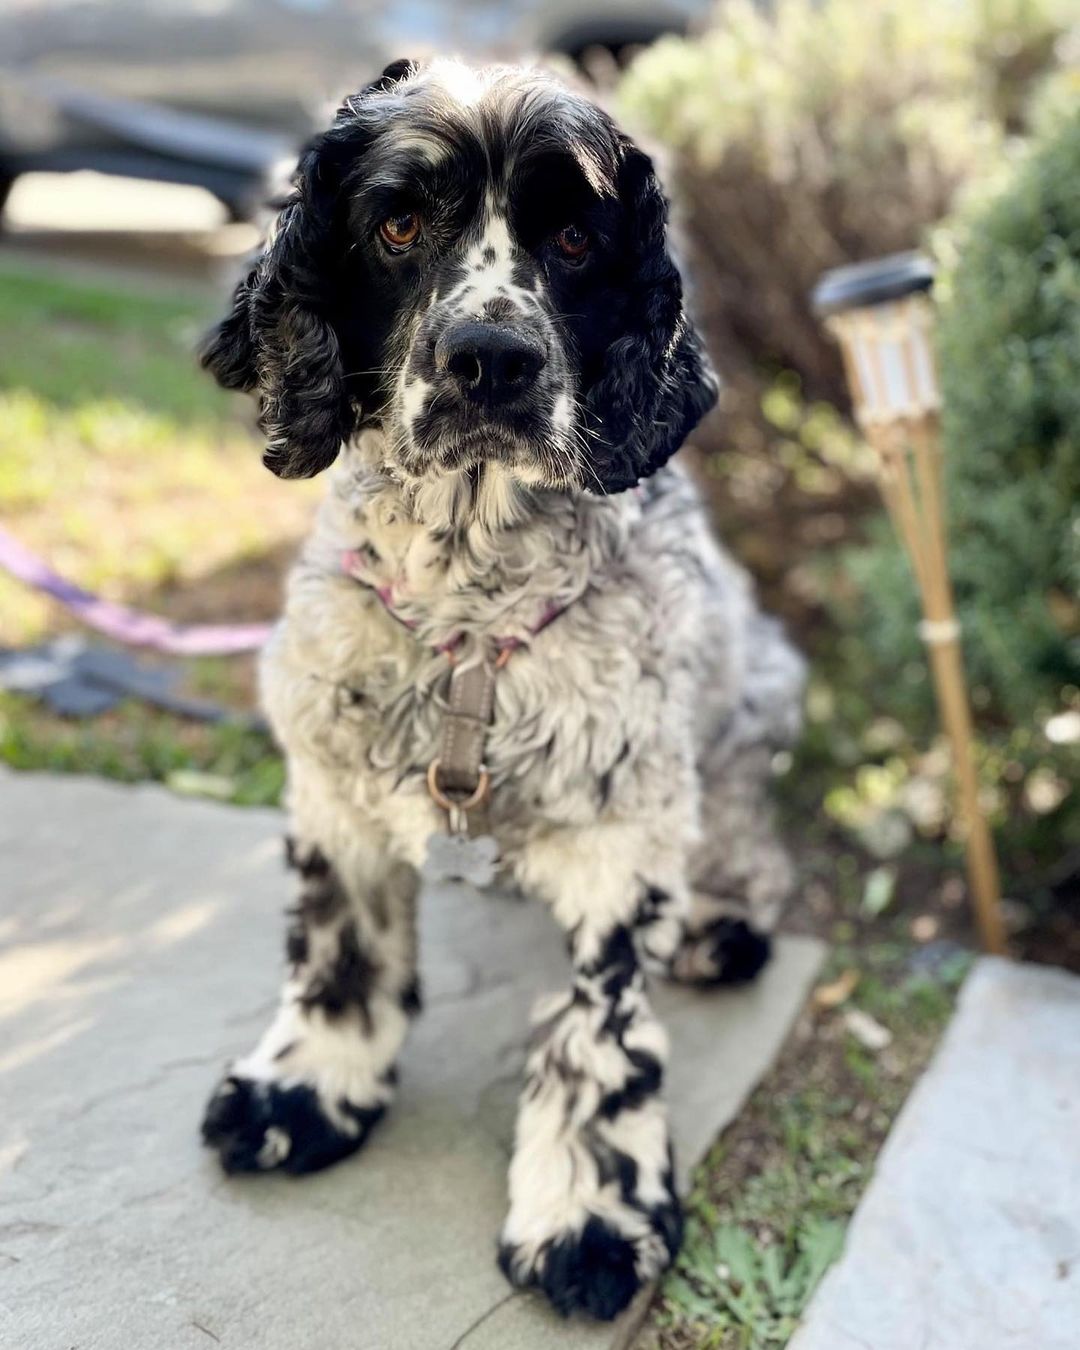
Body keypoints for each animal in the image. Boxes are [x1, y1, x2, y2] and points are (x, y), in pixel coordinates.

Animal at [198, 58, 804, 1323]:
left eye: (575, 238)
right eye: (396, 224)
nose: (493, 360)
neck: (468, 616)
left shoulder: (625, 828)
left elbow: (596, 1034)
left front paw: (588, 1215)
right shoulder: (331, 778)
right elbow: (341, 948)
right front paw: (308, 1089)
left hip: (755, 698)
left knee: (745, 840)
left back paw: (721, 923)